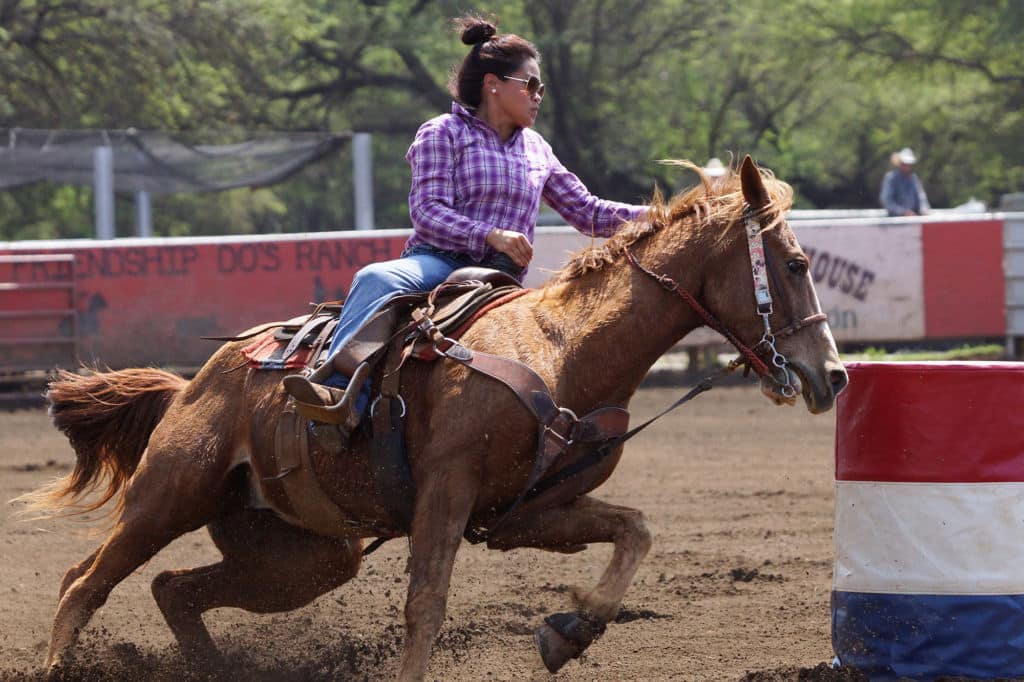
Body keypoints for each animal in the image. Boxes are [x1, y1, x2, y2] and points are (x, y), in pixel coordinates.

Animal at [18, 156, 847, 675]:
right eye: (796, 264)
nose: (832, 375)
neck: (561, 349)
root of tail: (198, 381)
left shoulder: (521, 514)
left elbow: (634, 530)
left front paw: (570, 631)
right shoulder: (446, 493)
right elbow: (427, 606)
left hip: (305, 555)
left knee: (174, 589)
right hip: (170, 495)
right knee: (83, 582)